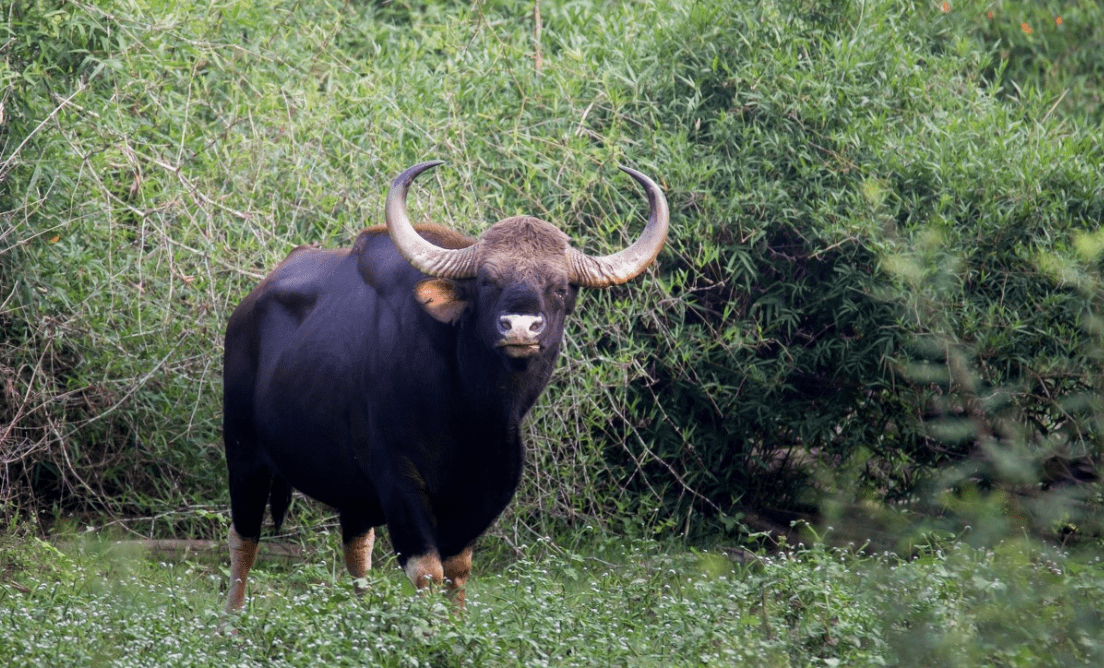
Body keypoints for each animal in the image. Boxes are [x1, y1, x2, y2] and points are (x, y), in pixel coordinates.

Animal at [220, 161, 666, 609]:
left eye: (559, 287)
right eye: (486, 282)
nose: (520, 327)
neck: (468, 410)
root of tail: (246, 309)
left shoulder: (484, 491)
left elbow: (457, 571)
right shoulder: (399, 482)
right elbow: (428, 573)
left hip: (349, 492)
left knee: (357, 548)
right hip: (243, 453)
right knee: (244, 541)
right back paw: (233, 618)